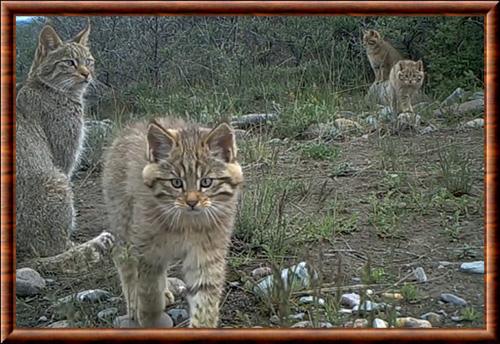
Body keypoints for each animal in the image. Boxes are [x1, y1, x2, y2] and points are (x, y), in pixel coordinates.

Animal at [102, 116, 243, 328]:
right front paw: (151, 320)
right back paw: (134, 303)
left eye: (206, 182)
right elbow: (149, 292)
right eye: (176, 183)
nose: (192, 202)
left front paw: (202, 326)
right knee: (123, 259)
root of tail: (132, 126)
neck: (187, 222)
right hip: (124, 222)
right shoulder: (148, 250)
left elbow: (205, 299)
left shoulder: (206, 253)